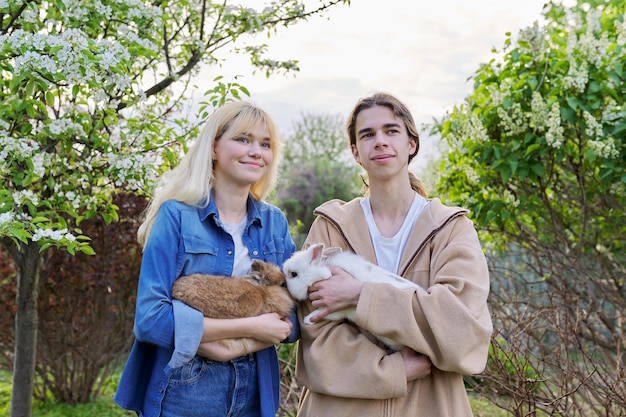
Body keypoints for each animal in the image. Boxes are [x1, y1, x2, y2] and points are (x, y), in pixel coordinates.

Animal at [282, 242, 424, 350]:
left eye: (293, 274)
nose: (284, 284)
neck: (321, 273)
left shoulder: (336, 310)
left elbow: (322, 313)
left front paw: (308, 319)